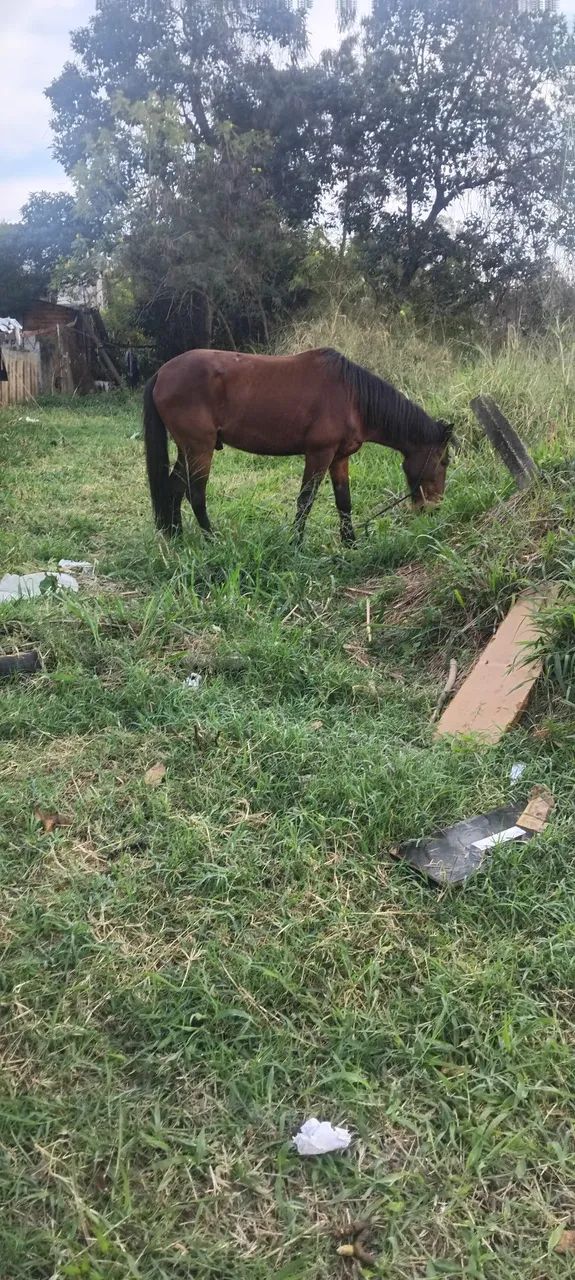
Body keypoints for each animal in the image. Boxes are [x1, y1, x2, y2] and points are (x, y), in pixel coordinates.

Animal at [143, 347, 453, 545]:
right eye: (444, 461)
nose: (433, 508)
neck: (352, 397)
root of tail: (161, 373)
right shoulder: (319, 454)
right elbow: (305, 501)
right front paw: (296, 544)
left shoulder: (339, 457)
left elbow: (344, 501)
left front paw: (351, 544)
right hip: (199, 449)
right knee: (196, 494)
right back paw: (211, 539)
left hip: (188, 449)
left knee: (174, 487)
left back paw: (176, 537)